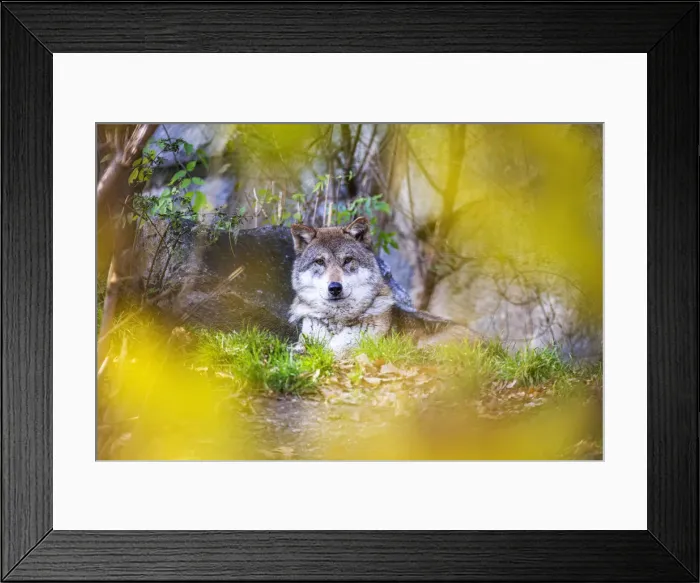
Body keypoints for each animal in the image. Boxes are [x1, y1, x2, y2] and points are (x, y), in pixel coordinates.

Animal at [289, 217, 461, 358]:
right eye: (319, 262)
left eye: (348, 260)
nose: (335, 288)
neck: (337, 324)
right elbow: (299, 349)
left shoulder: (349, 348)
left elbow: (330, 352)